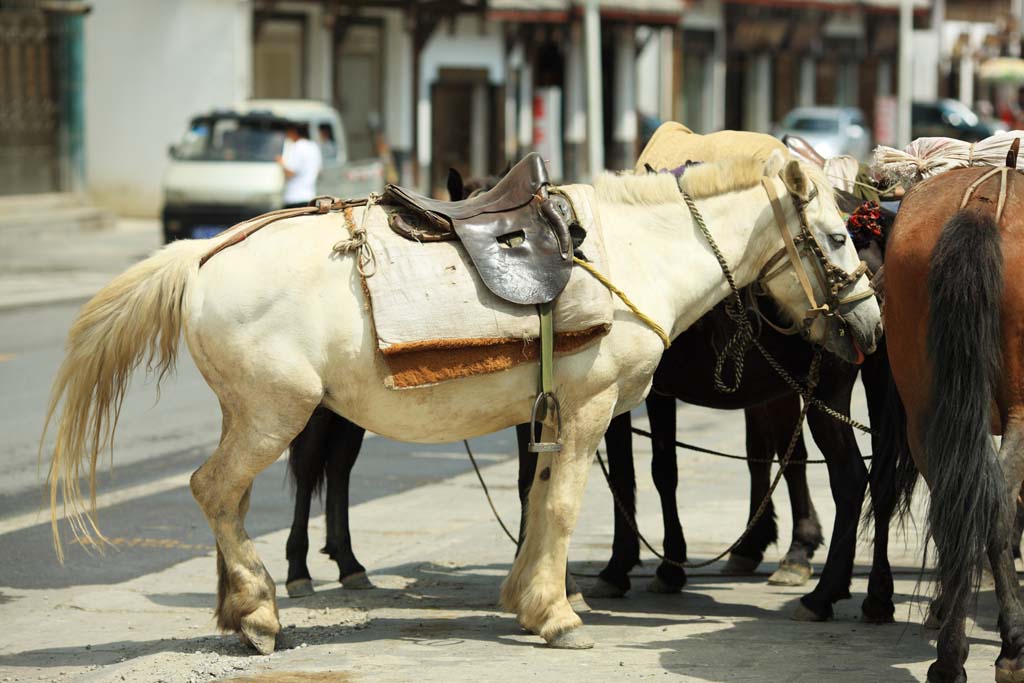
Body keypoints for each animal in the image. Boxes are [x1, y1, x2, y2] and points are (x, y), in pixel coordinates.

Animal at [44, 152, 880, 655]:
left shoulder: (551, 412)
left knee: (233, 497)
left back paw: (241, 604)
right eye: (838, 238)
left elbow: (540, 500)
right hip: (274, 413)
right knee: (217, 489)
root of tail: (204, 253)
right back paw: (256, 610)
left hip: (255, 414)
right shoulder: (590, 408)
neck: (629, 252)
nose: (870, 327)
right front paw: (559, 613)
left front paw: (530, 597)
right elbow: (568, 504)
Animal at [880, 166, 1024, 683]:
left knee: (957, 502)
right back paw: (1012, 646)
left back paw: (949, 655)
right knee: (998, 503)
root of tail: (983, 203)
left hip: (925, 408)